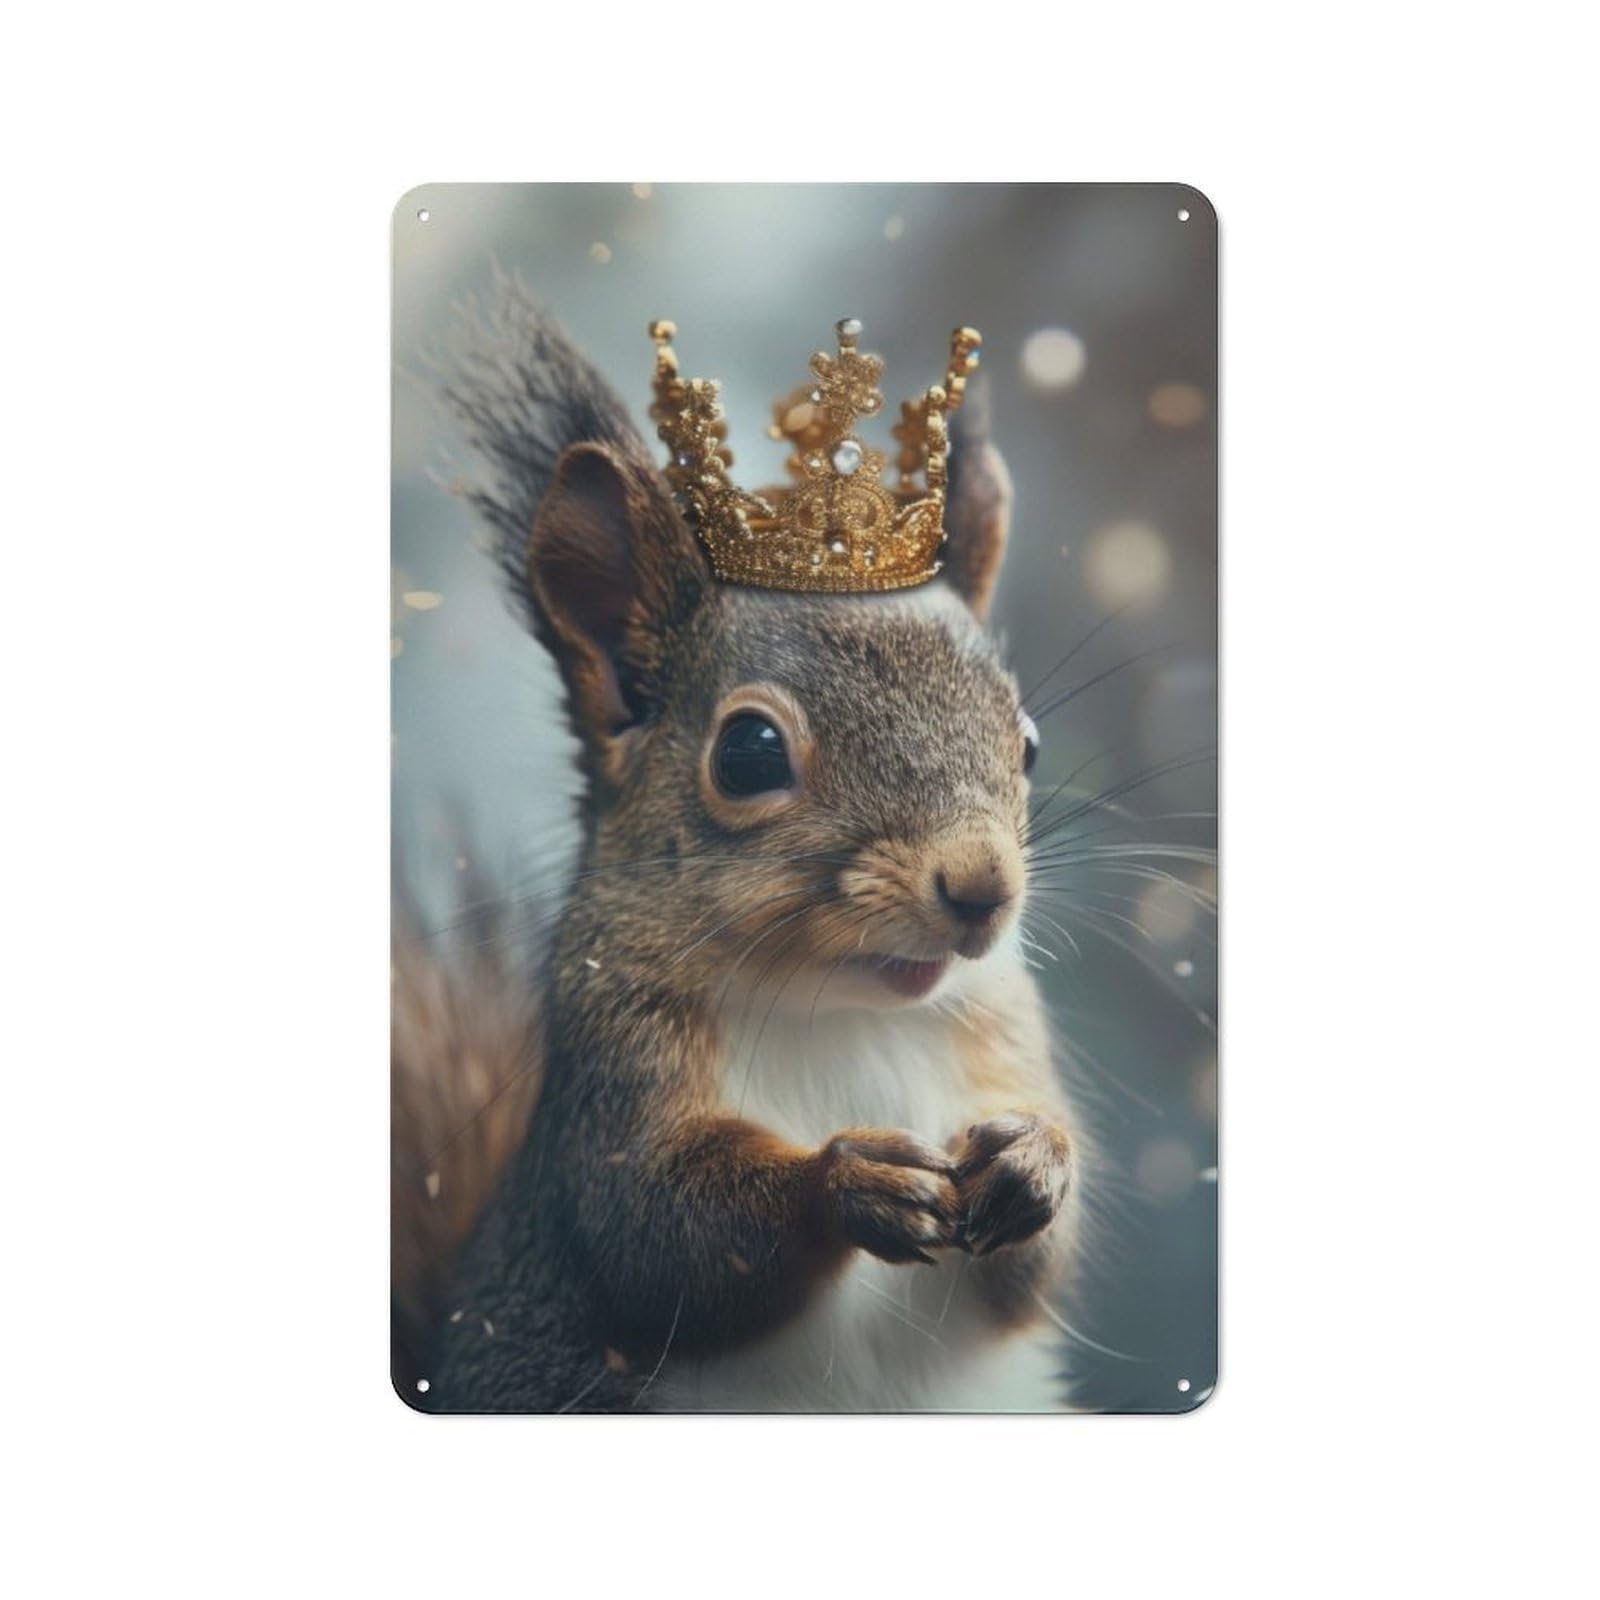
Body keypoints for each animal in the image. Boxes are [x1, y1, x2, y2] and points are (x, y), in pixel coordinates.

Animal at [393, 281, 1082, 1412]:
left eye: (1026, 743)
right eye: (750, 752)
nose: (983, 887)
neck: (844, 1014)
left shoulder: (1002, 1037)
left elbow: (1037, 1271)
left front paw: (1036, 1159)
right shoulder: (611, 1080)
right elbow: (663, 1234)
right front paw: (846, 1179)